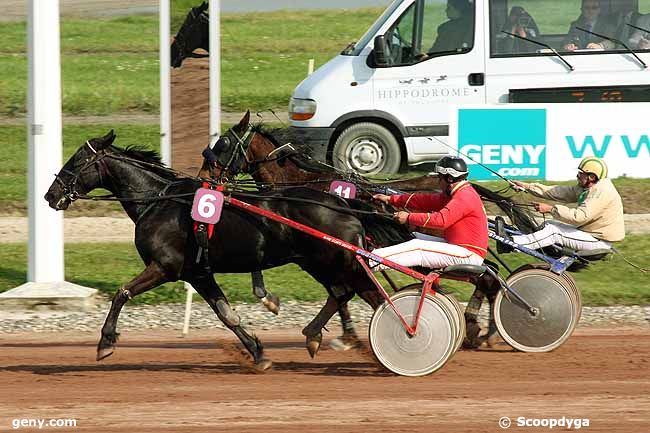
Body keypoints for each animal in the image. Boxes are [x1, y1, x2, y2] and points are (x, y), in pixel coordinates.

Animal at [45, 130, 408, 370]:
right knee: (344, 293)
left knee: (366, 295)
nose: (51, 194)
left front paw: (105, 342)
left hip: (338, 260)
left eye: (77, 160)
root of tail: (344, 202)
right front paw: (258, 353)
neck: (159, 200)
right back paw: (318, 336)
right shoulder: (198, 272)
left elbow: (121, 292)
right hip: (320, 262)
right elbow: (227, 314)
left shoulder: (164, 267)